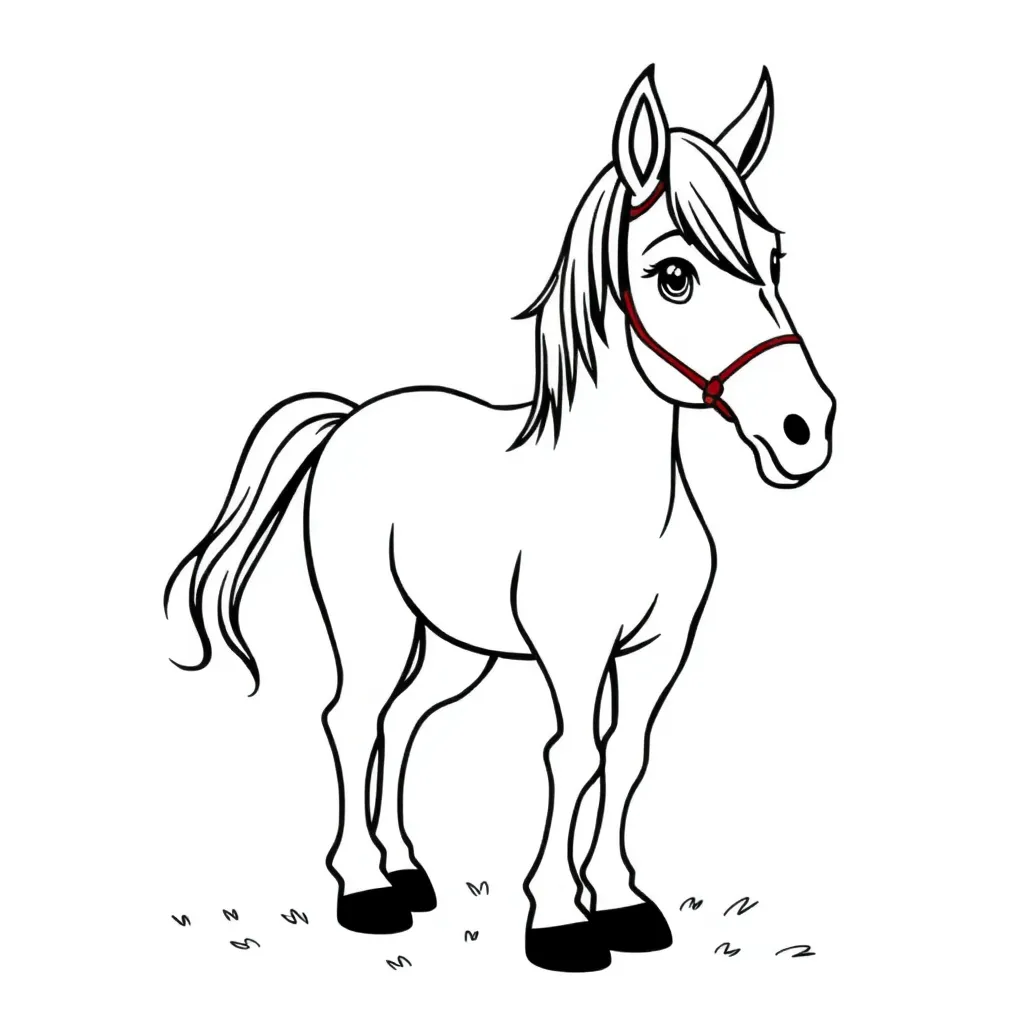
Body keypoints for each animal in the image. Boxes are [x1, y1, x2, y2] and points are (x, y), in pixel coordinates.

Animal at [165, 65, 835, 973]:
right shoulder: (575, 649)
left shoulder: (659, 650)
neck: (619, 498)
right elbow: (572, 756)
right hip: (371, 623)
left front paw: (623, 904)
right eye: (673, 275)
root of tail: (350, 419)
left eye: (773, 257)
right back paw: (365, 889)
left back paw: (408, 870)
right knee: (352, 718)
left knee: (403, 719)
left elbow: (626, 758)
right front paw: (560, 920)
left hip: (458, 646)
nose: (805, 429)